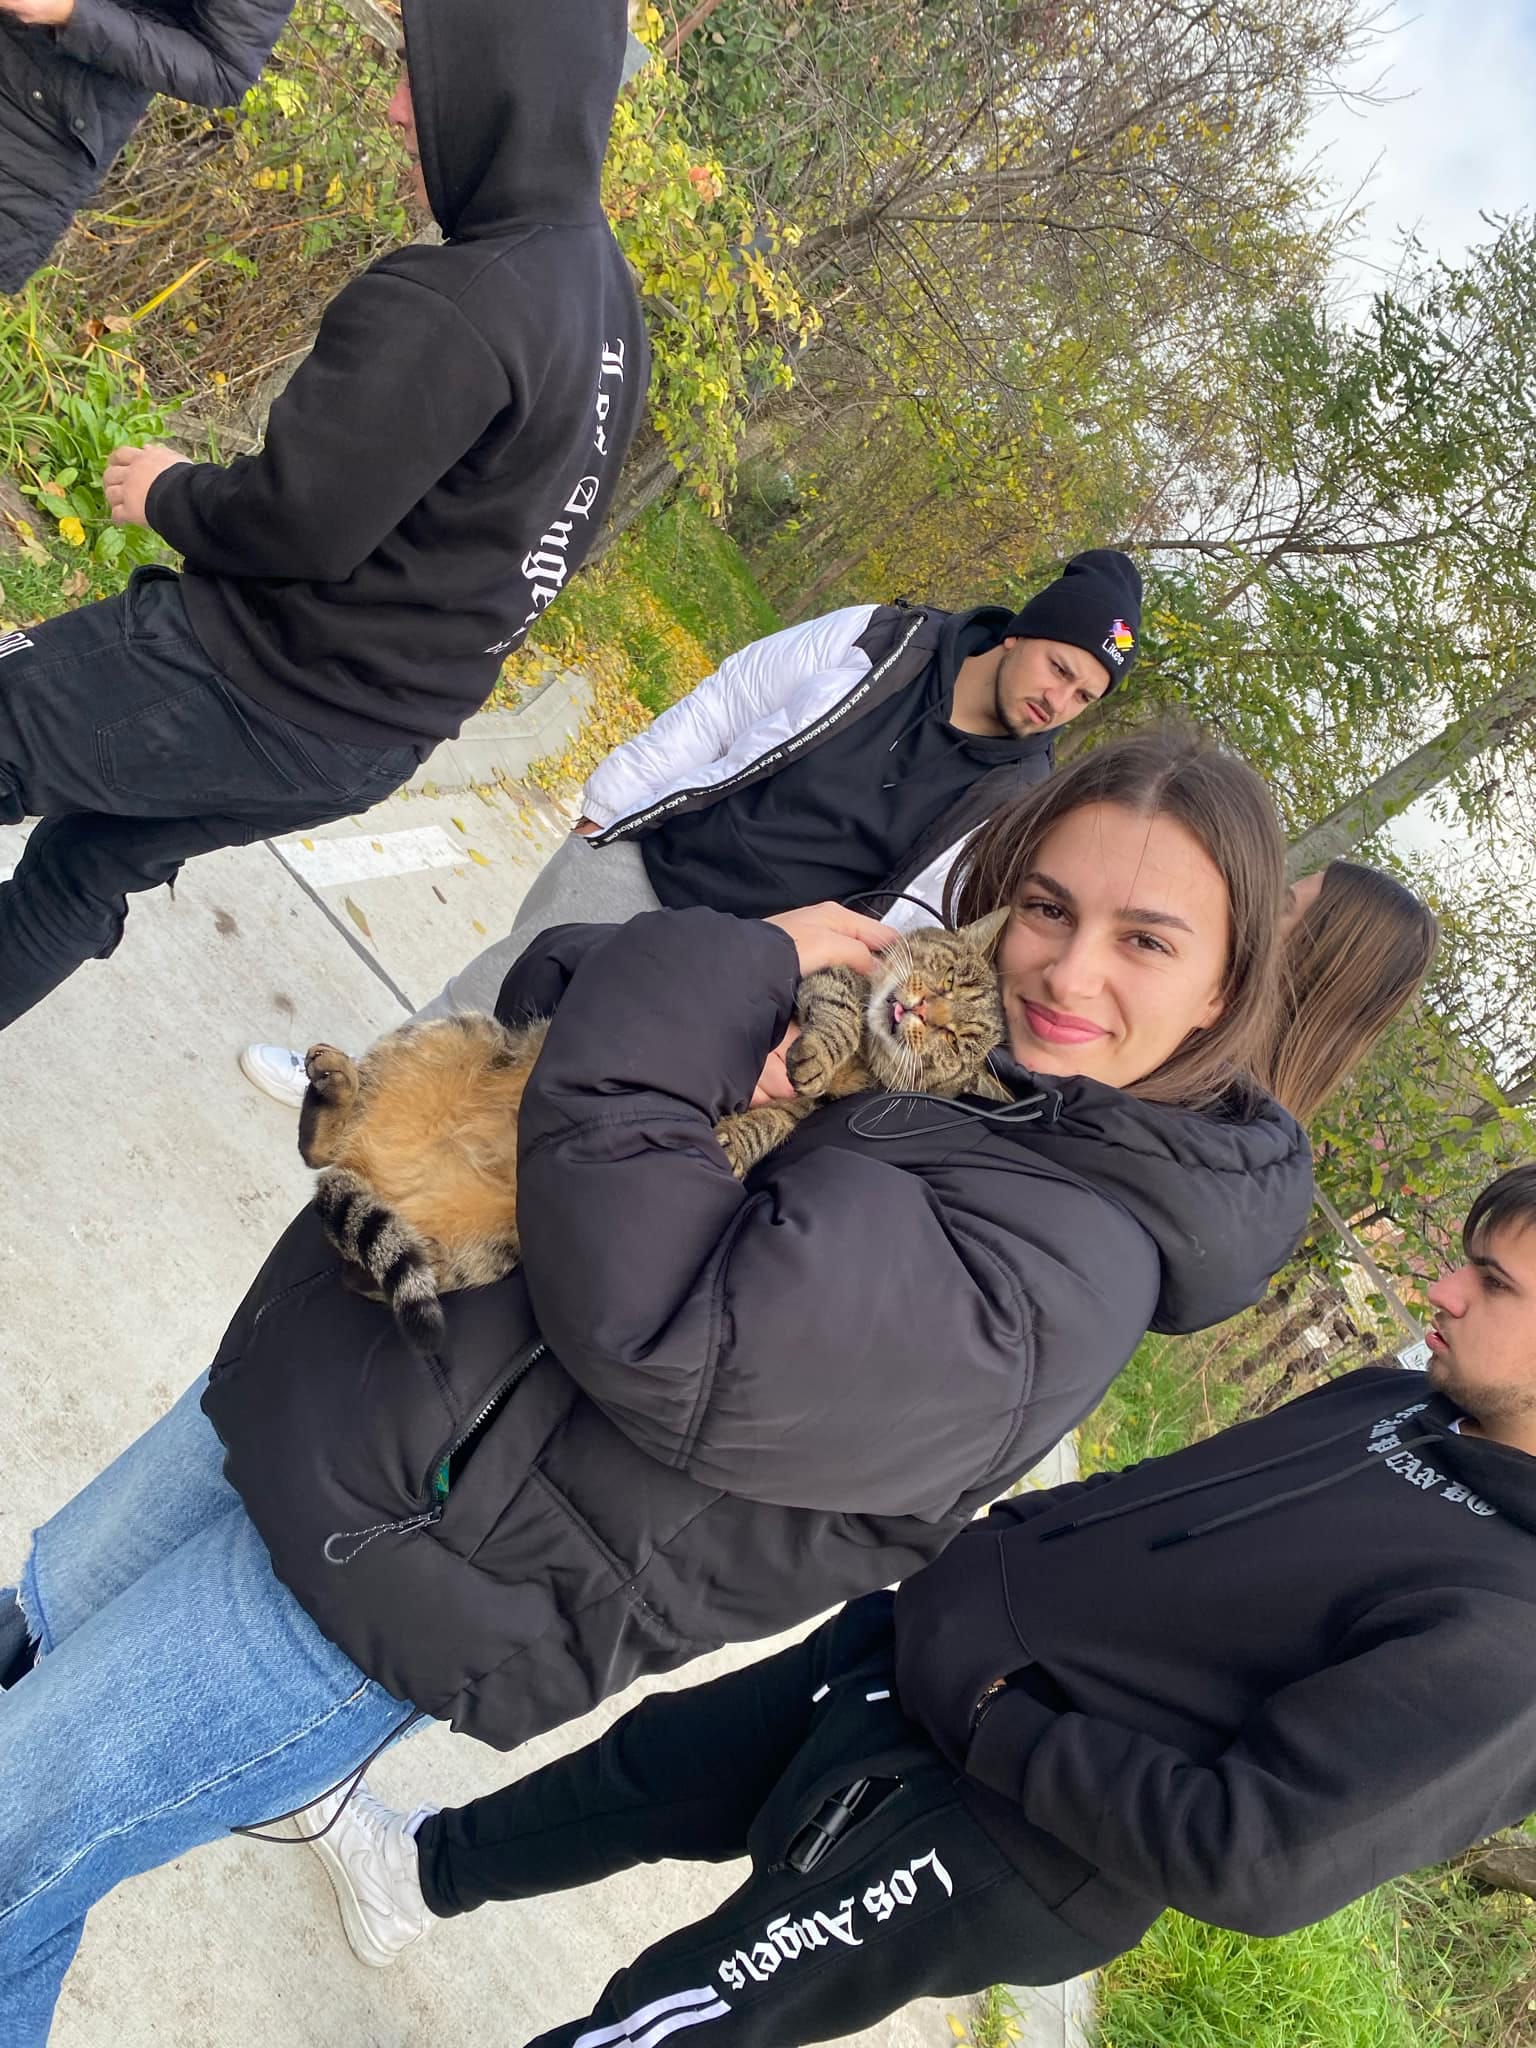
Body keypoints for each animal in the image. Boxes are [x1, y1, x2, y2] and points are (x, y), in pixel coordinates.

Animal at [297, 909, 1012, 1357]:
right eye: (946, 978)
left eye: (954, 1039)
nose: (922, 1009)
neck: (866, 1059)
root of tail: (377, 1168)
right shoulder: (827, 971)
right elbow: (835, 1006)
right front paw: (822, 1047)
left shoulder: (801, 1111)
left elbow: (772, 1122)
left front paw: (733, 1142)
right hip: (458, 1035)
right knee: (324, 1146)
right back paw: (335, 1087)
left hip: (483, 1253)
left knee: (357, 1248)